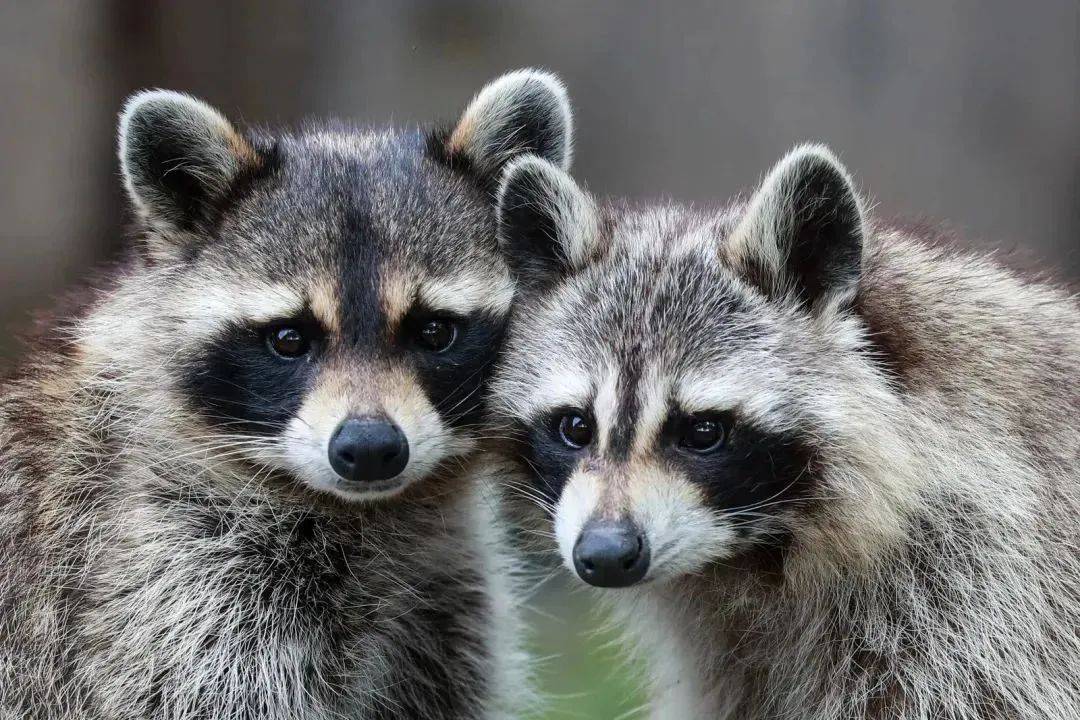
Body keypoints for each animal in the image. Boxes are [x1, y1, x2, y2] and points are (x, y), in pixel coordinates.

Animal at [0, 69, 574, 720]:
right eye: (289, 339)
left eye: (434, 331)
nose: (370, 448)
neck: (368, 512)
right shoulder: (157, 572)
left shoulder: (443, 605)